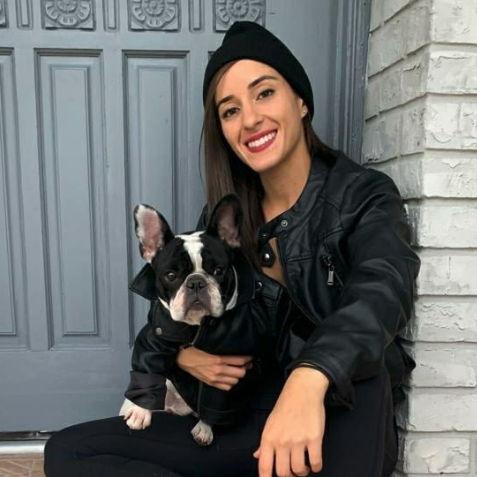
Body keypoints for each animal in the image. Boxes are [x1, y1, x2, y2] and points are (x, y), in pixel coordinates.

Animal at [119, 194, 251, 445]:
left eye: (218, 271)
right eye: (171, 275)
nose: (196, 282)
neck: (193, 328)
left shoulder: (227, 368)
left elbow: (214, 398)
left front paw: (205, 428)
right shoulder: (152, 341)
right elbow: (147, 372)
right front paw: (139, 410)